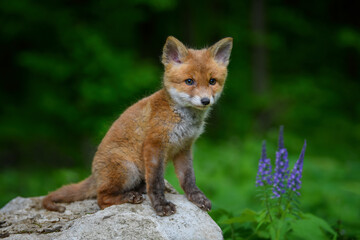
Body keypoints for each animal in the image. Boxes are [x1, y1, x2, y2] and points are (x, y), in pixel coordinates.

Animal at [42, 36, 233, 217]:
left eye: (212, 81)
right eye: (189, 81)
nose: (205, 100)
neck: (182, 119)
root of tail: (95, 174)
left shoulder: (184, 147)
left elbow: (188, 178)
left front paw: (196, 197)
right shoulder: (154, 145)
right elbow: (155, 182)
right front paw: (161, 205)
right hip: (128, 170)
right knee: (101, 199)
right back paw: (129, 196)